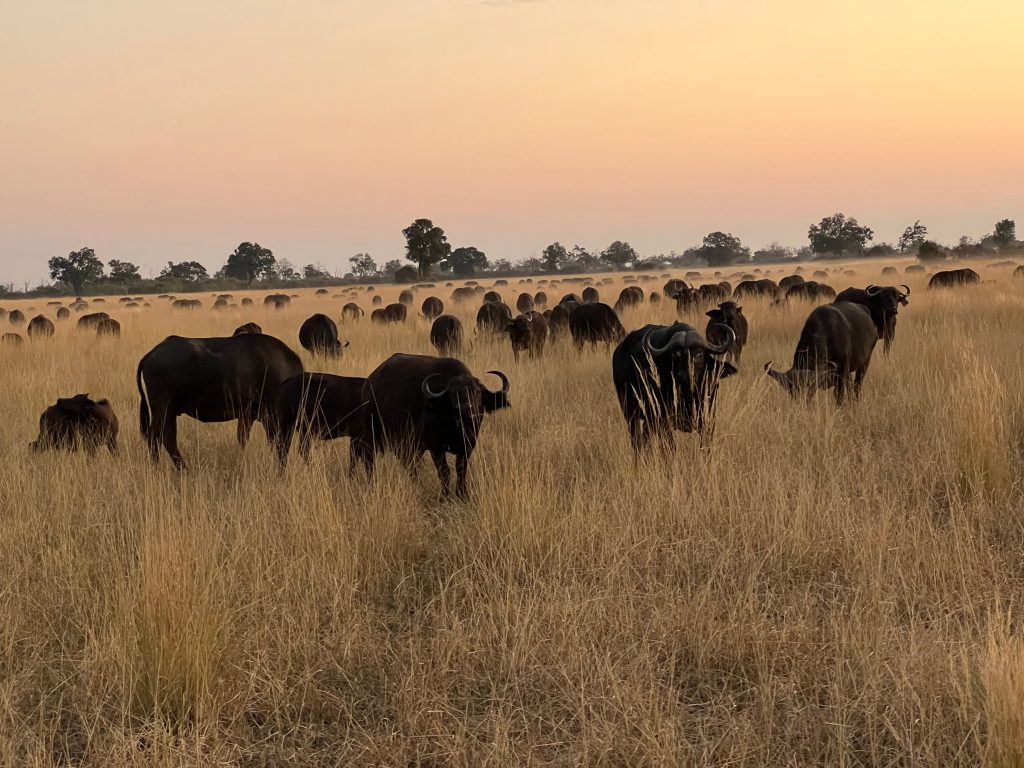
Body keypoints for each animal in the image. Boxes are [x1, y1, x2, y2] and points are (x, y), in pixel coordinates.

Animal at [136, 334, 303, 469]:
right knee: (158, 438)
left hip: (168, 413)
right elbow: (279, 445)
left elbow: (243, 439)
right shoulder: (270, 419)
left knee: (165, 438)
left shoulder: (247, 416)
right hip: (163, 410)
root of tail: (153, 352)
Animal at [353, 354, 510, 498]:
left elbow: (461, 470)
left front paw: (462, 494)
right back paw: (371, 482)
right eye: (453, 394)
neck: (456, 428)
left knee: (409, 464)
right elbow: (444, 472)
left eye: (477, 392)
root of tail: (368, 384)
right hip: (371, 432)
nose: (466, 409)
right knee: (368, 457)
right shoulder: (436, 447)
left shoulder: (468, 444)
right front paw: (445, 496)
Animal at [612, 323, 736, 452]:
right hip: (630, 411)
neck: (688, 395)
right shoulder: (663, 419)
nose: (683, 376)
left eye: (699, 355)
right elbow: (670, 448)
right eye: (675, 355)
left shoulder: (708, 417)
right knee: (636, 440)